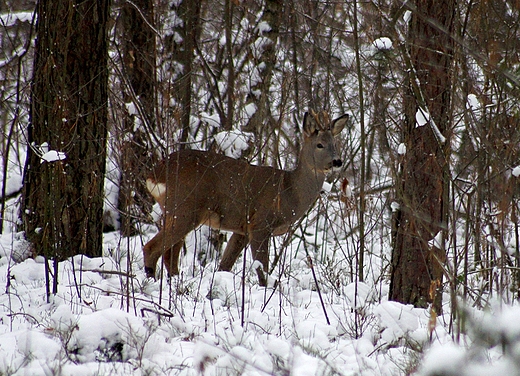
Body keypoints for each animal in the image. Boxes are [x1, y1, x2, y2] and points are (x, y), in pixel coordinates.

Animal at [142, 110, 348, 286]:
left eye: (336, 144)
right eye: (319, 144)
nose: (337, 161)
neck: (288, 191)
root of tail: (154, 174)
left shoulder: (242, 229)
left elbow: (224, 265)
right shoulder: (260, 224)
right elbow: (262, 269)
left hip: (178, 211)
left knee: (170, 255)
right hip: (185, 208)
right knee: (151, 248)